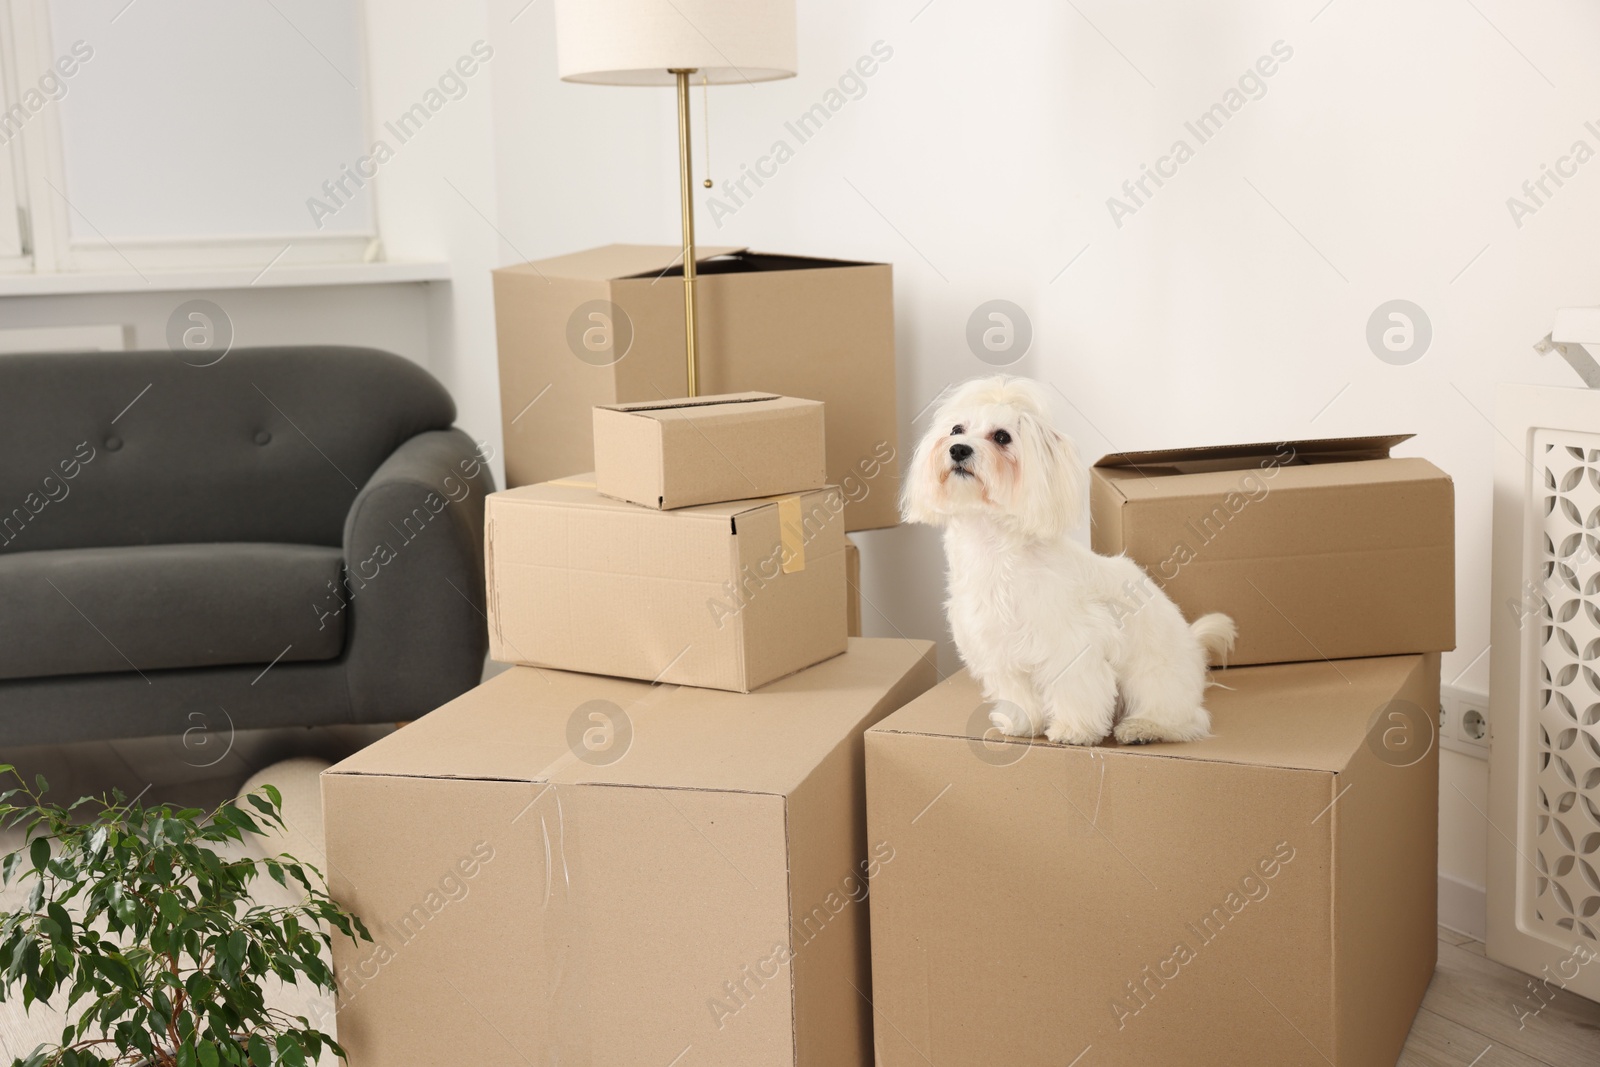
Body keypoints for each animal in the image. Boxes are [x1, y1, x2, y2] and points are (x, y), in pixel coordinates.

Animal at [902, 379, 1235, 748]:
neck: (994, 548)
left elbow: (1076, 690)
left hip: (1153, 679)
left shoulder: (1073, 647)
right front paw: (1021, 723)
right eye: (956, 430)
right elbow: (1018, 693)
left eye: (1002, 436)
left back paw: (1143, 727)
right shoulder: (1000, 650)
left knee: (1185, 720)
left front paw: (1075, 730)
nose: (958, 449)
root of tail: (1194, 650)